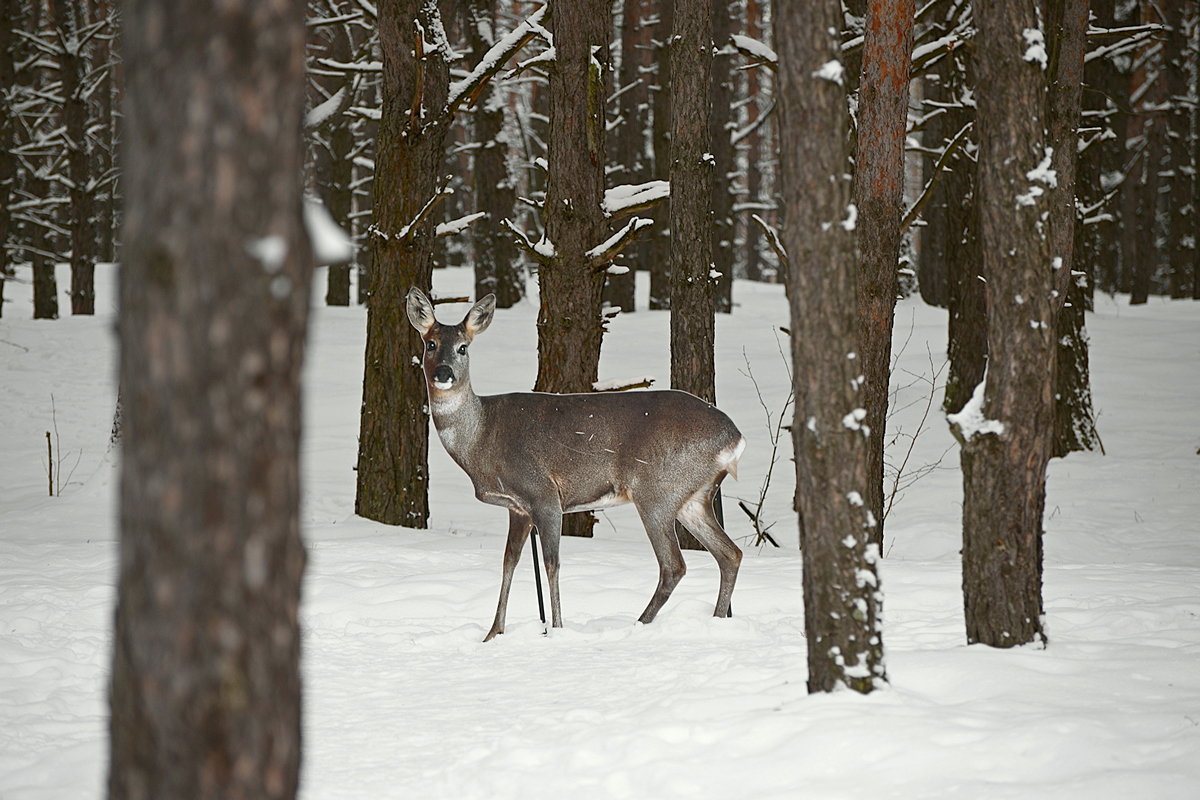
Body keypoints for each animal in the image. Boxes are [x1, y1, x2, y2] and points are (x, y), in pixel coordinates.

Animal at [408, 287, 744, 642]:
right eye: (431, 344)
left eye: (463, 347)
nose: (444, 373)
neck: (482, 437)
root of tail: (735, 437)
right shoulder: (517, 508)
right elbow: (509, 561)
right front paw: (493, 633)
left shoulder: (543, 493)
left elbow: (551, 563)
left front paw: (555, 629)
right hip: (692, 497)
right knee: (729, 553)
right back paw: (716, 621)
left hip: (657, 491)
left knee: (674, 565)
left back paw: (639, 625)